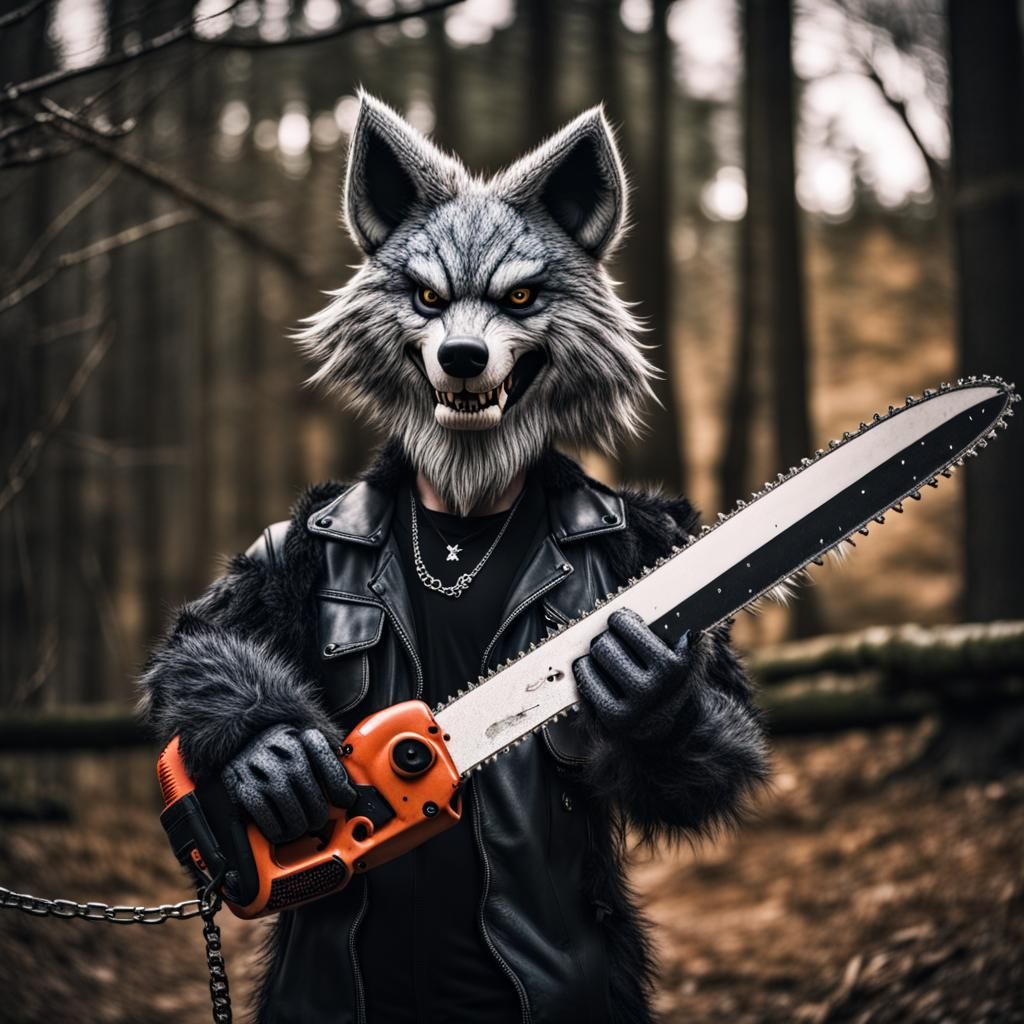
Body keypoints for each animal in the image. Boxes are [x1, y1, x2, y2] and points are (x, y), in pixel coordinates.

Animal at [141, 94, 768, 1023]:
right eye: (428, 297)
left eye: (521, 295)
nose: (463, 357)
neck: (467, 509)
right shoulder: (286, 543)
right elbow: (195, 636)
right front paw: (270, 752)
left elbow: (719, 745)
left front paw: (649, 690)